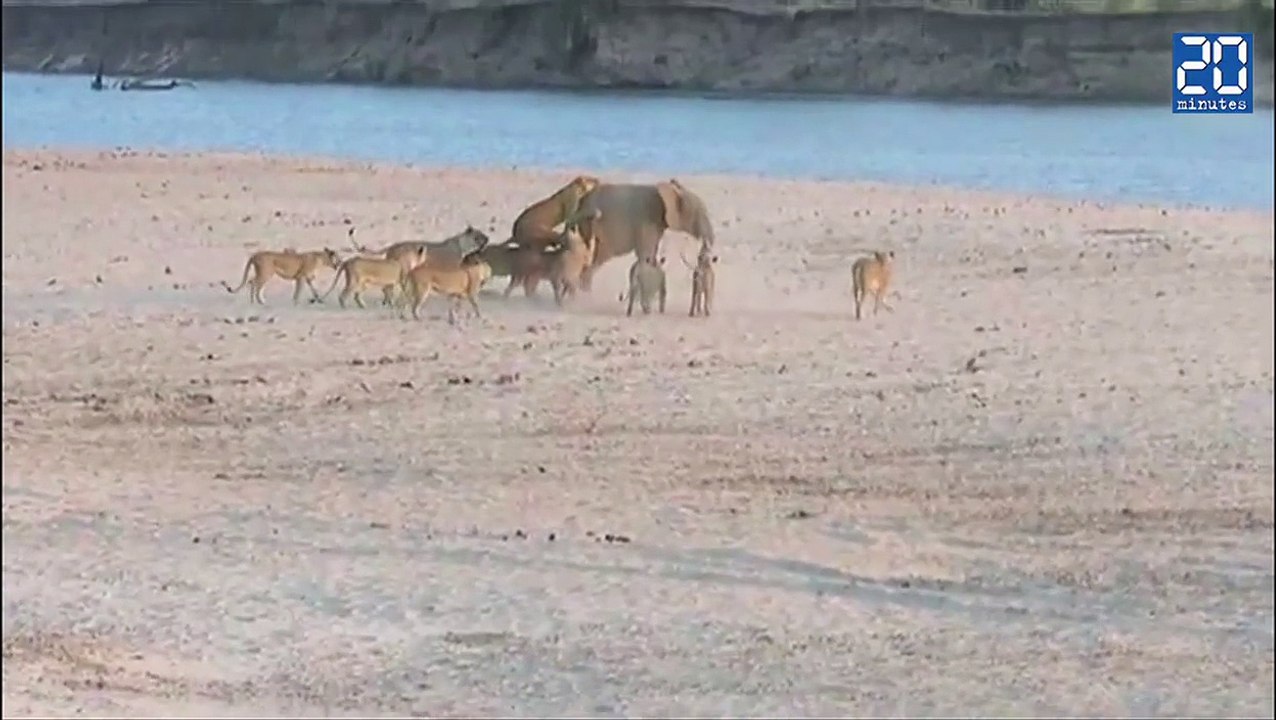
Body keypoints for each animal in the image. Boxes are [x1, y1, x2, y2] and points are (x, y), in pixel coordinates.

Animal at [565, 178, 713, 293]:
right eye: (699, 213)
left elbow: (652, 256)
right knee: (598, 258)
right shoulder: (647, 221)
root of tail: (583, 201)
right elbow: (645, 255)